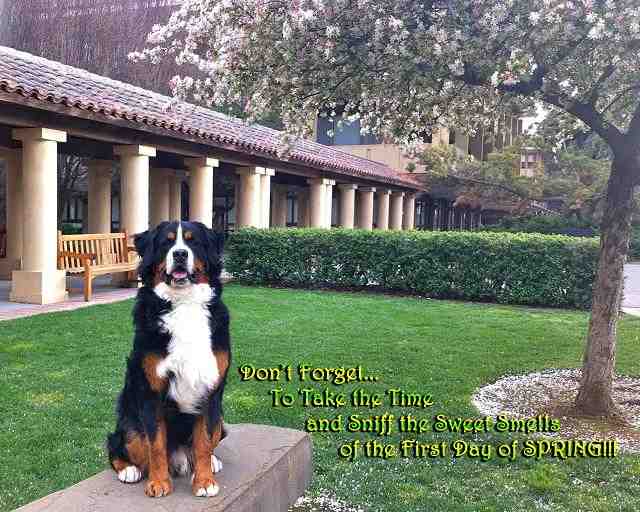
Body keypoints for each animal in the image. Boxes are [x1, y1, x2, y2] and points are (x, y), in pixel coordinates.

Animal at [107, 220, 230, 498]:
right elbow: (156, 445)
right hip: (130, 425)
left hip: (222, 420)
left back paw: (212, 462)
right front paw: (158, 482)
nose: (180, 254)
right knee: (117, 446)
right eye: (167, 242)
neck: (183, 304)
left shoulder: (211, 389)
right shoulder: (151, 392)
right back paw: (128, 470)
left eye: (193, 242)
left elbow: (204, 440)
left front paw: (204, 481)